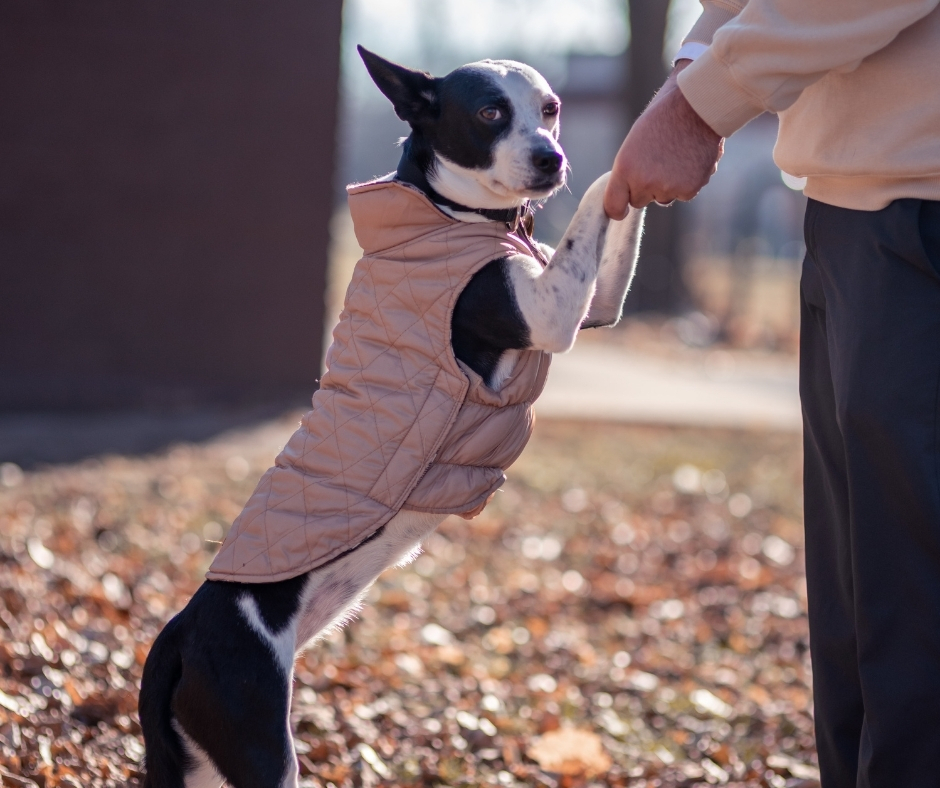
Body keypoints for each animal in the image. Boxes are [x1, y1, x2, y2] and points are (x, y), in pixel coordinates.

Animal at [141, 49, 648, 788]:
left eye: (550, 109)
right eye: (491, 112)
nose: (551, 157)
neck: (445, 212)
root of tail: (179, 635)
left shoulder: (591, 300)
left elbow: (610, 215)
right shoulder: (551, 311)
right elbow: (589, 215)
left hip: (203, 767)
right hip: (264, 751)